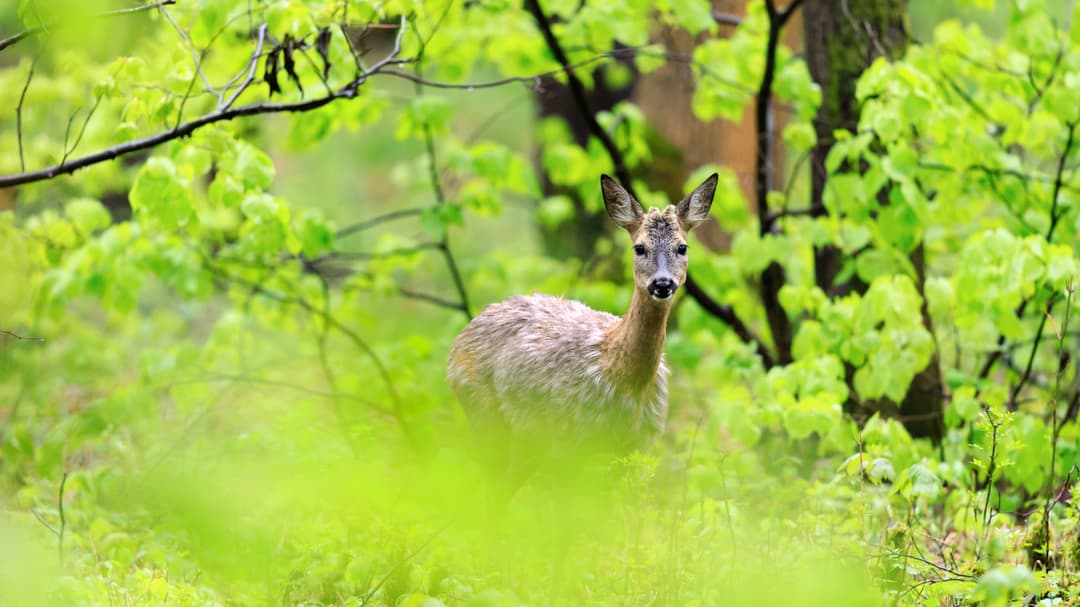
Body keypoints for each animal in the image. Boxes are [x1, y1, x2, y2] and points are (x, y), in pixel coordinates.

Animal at [447, 172, 717, 460]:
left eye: (683, 247)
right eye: (639, 248)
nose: (663, 283)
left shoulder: (640, 440)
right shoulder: (570, 436)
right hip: (483, 410)